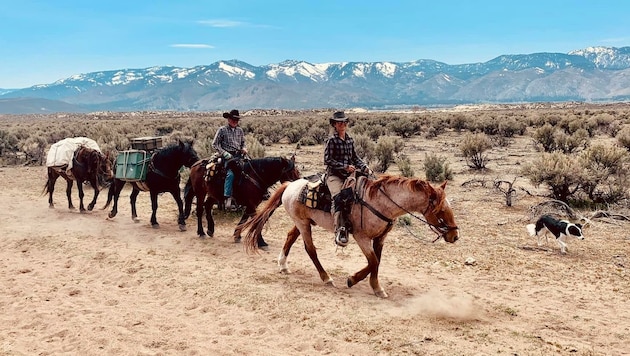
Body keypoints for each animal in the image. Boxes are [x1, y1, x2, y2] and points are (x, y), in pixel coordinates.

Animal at [242, 175, 460, 298]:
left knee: (289, 237)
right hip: (303, 224)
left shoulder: (380, 238)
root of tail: (289, 185)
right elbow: (373, 261)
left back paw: (283, 265)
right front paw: (352, 280)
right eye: (440, 210)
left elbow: (376, 262)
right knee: (310, 249)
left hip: (303, 222)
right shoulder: (361, 238)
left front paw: (376, 288)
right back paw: (326, 277)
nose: (455, 235)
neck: (379, 202)